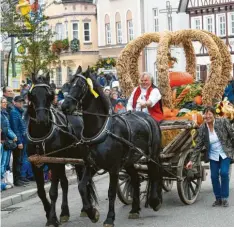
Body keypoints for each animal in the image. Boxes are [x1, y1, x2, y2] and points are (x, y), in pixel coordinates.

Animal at [26, 73, 97, 226]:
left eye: (49, 95)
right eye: (32, 95)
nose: (42, 119)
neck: (41, 134)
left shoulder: (54, 164)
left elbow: (53, 192)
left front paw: (52, 218)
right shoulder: (36, 164)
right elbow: (41, 192)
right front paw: (49, 213)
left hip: (79, 158)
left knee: (82, 179)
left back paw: (84, 208)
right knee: (65, 183)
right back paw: (65, 212)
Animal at [61, 67, 163, 226]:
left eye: (81, 86)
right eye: (69, 83)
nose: (64, 106)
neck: (101, 130)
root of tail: (149, 118)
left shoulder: (114, 168)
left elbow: (111, 192)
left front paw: (109, 218)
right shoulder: (91, 165)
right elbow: (82, 186)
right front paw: (92, 213)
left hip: (152, 155)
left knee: (154, 174)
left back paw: (154, 201)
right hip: (129, 161)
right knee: (135, 180)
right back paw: (135, 209)